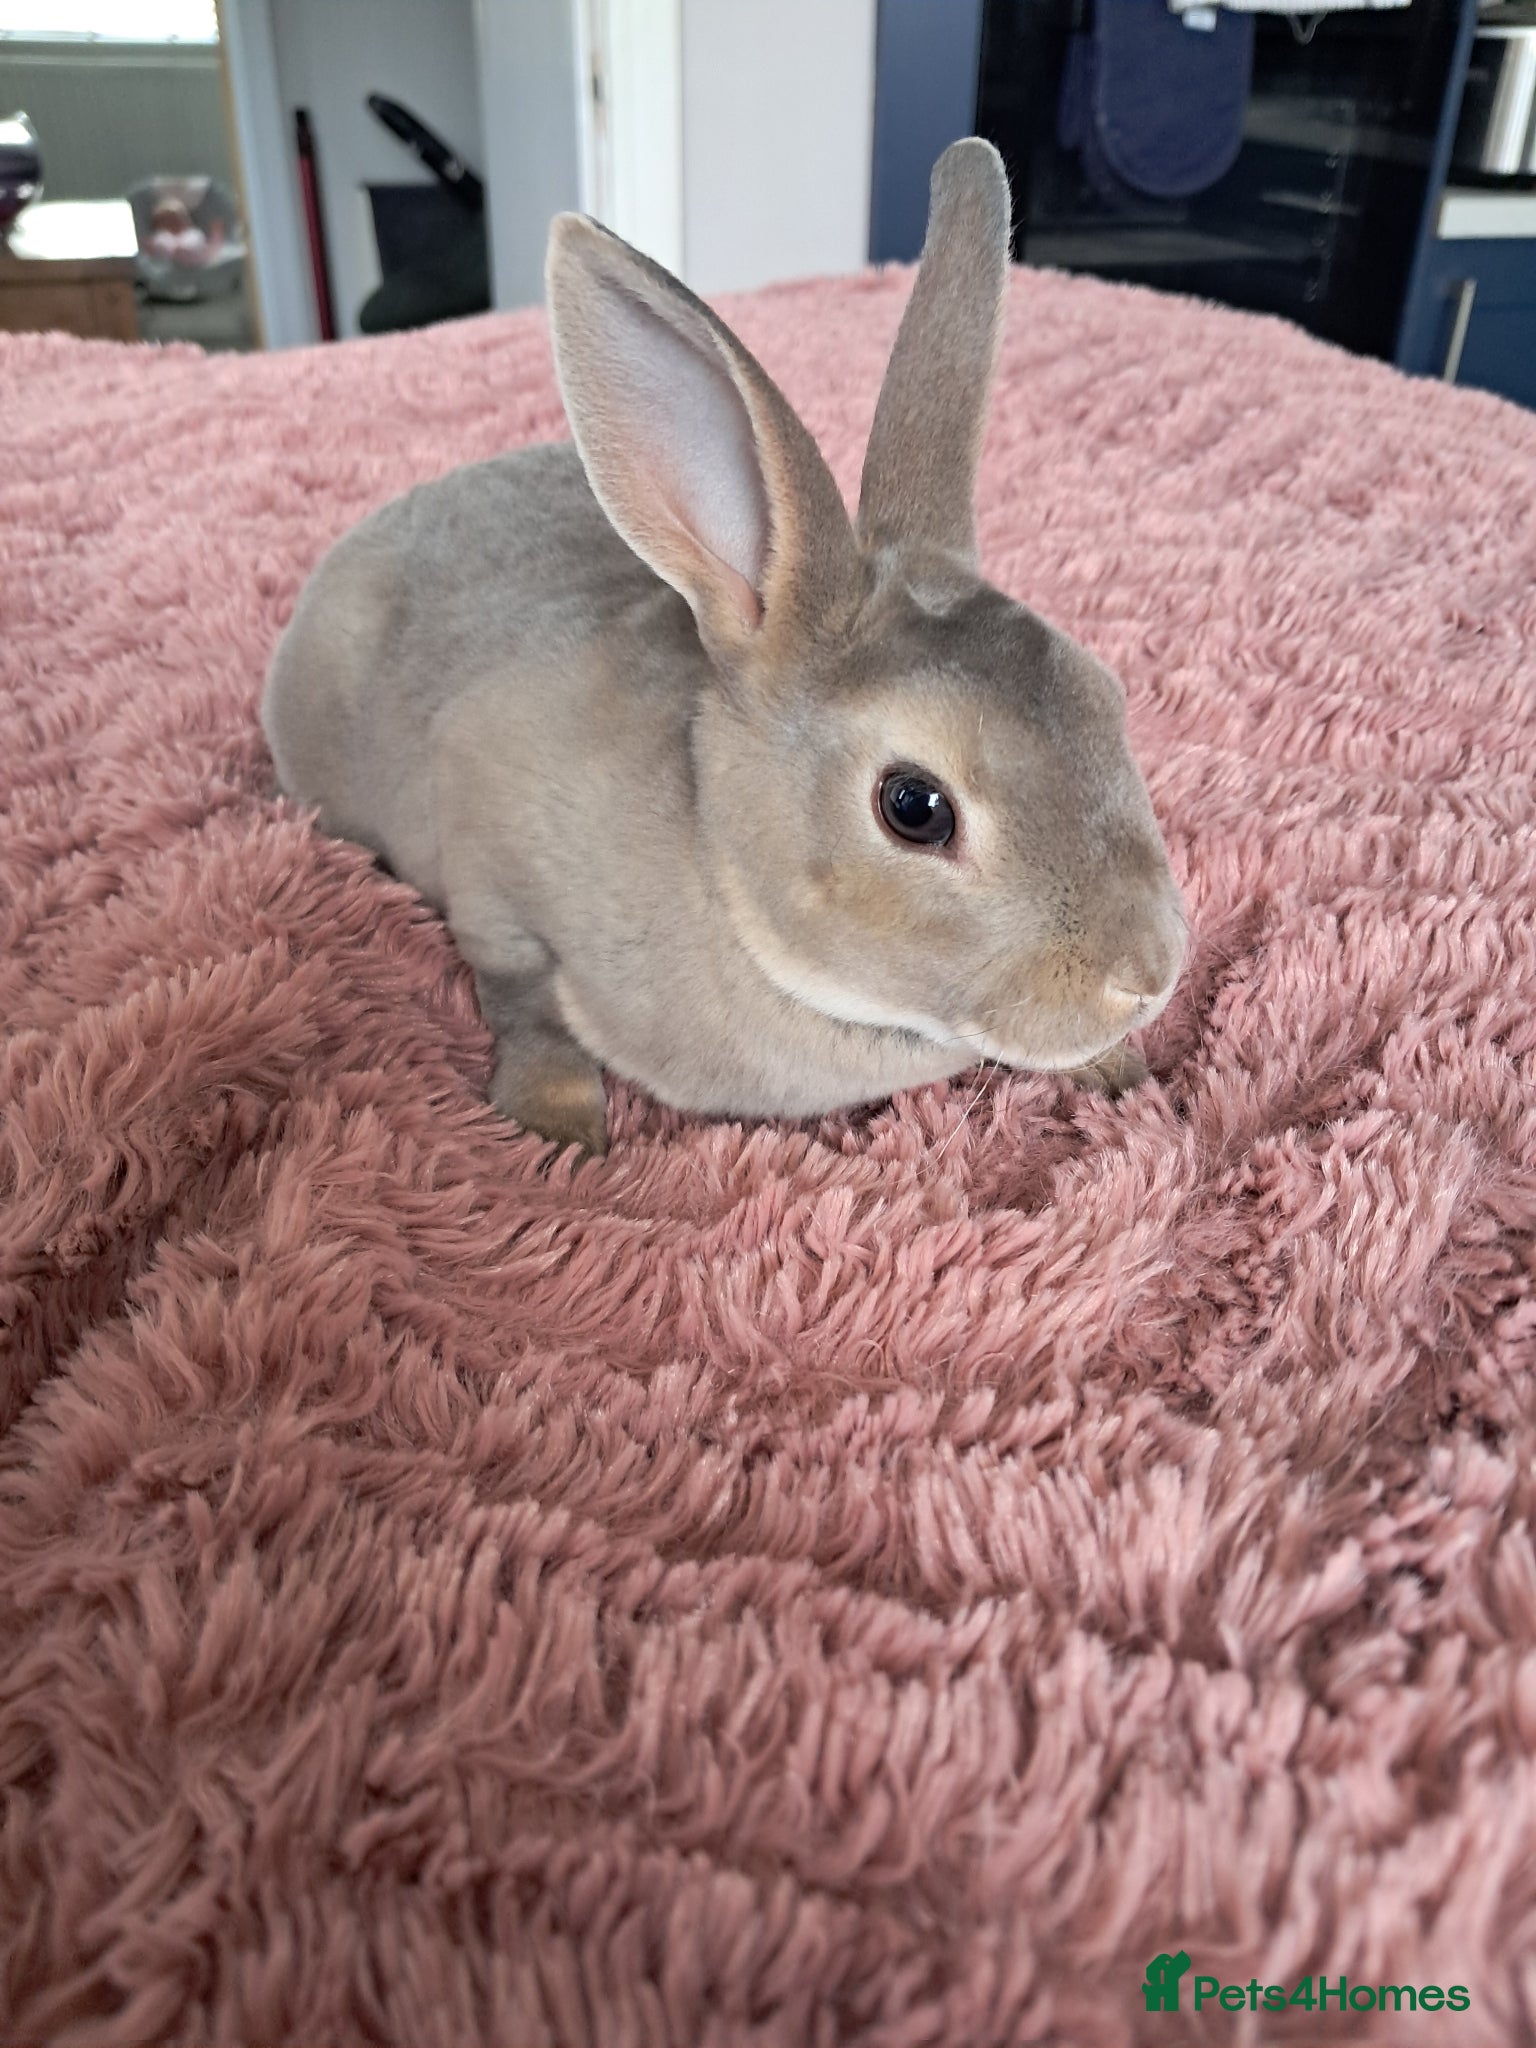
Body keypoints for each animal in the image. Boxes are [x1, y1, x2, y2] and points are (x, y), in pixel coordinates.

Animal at [262, 138, 1187, 1158]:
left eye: (1107, 697)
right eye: (914, 808)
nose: (1146, 977)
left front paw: (1115, 1068)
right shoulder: (487, 864)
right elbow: (523, 999)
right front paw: (557, 1127)